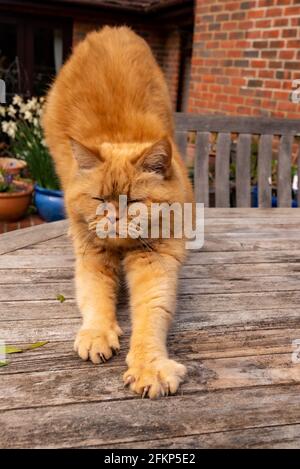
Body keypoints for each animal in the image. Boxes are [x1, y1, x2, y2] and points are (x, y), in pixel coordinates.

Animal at [43, 26, 195, 398]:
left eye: (134, 201)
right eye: (99, 199)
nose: (113, 217)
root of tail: (111, 30)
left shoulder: (155, 262)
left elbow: (152, 314)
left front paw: (149, 367)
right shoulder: (92, 257)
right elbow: (96, 299)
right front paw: (97, 334)